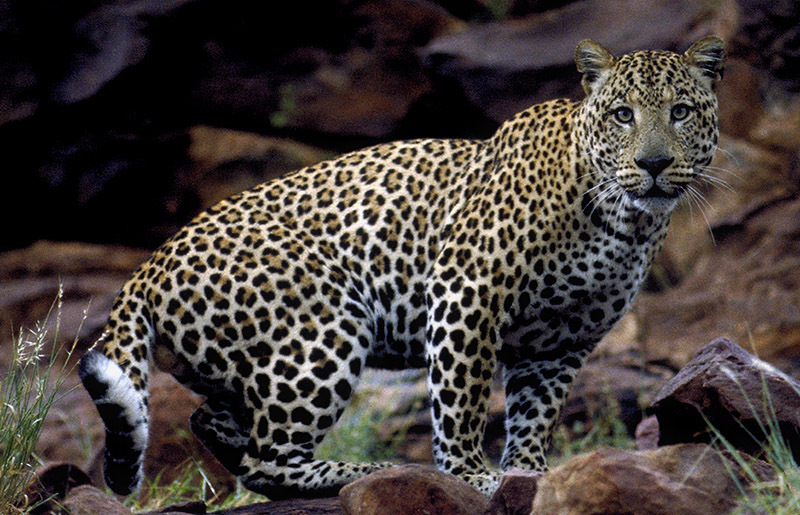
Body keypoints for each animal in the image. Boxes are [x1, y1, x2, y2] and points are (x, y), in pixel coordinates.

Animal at [79, 36, 725, 499]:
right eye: (622, 115)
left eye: (680, 111)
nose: (654, 163)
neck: (624, 222)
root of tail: (148, 266)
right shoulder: (467, 292)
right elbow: (463, 401)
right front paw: (472, 476)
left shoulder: (563, 339)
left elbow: (534, 413)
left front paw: (530, 474)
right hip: (325, 327)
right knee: (269, 462)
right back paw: (360, 471)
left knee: (213, 423)